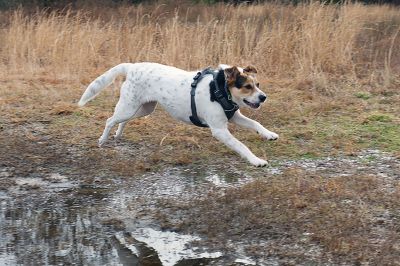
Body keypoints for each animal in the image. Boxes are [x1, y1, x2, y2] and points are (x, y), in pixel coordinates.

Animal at [78, 62, 278, 166]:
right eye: (247, 87)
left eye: (258, 84)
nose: (264, 97)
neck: (219, 88)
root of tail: (133, 66)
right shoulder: (219, 130)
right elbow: (241, 146)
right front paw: (256, 160)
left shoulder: (234, 116)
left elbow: (256, 124)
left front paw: (269, 134)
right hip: (128, 107)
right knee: (109, 120)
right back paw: (102, 140)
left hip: (142, 109)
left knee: (122, 121)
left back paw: (118, 134)